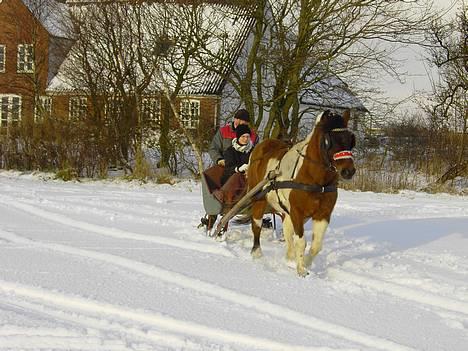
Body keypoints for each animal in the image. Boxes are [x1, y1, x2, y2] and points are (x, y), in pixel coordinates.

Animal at [249, 110, 354, 278]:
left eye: (351, 139)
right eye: (329, 140)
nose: (348, 171)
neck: (317, 181)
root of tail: (261, 146)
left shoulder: (323, 214)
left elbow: (316, 245)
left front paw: (305, 263)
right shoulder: (297, 212)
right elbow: (301, 241)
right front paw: (301, 270)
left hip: (285, 211)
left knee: (287, 231)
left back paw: (289, 256)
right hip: (259, 198)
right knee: (257, 225)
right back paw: (257, 252)